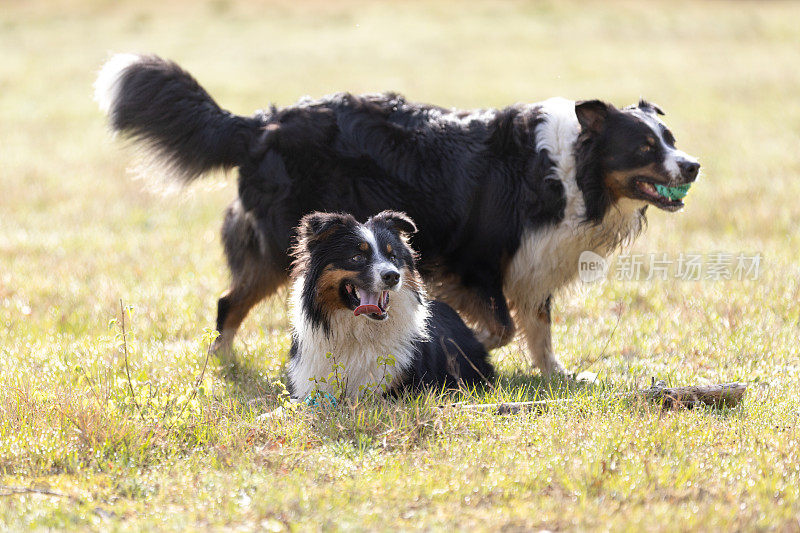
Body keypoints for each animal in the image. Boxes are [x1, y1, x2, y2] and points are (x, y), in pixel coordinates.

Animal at [95, 52, 700, 376]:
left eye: (671, 139)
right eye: (645, 147)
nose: (693, 165)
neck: (569, 170)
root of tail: (262, 122)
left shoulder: (533, 262)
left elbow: (537, 328)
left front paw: (557, 375)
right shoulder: (475, 261)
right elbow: (500, 327)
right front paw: (460, 348)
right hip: (283, 242)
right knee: (229, 302)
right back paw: (222, 362)